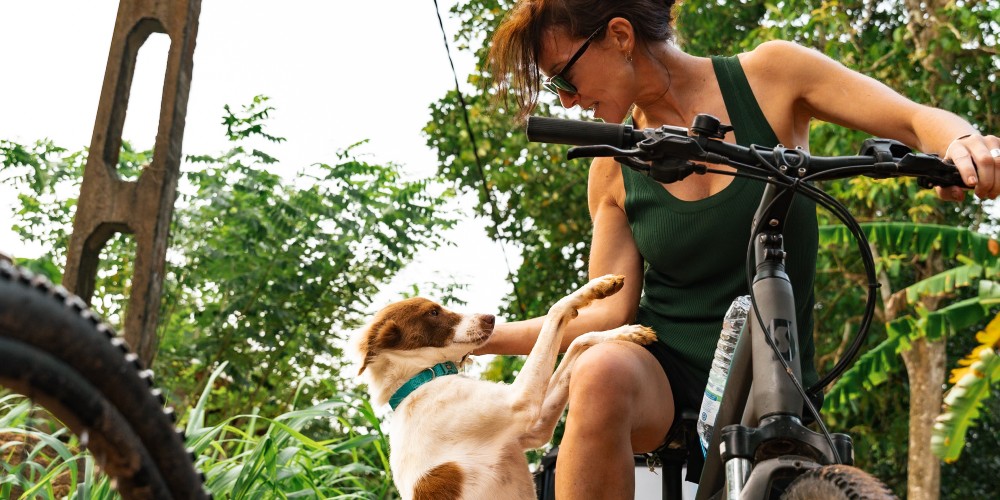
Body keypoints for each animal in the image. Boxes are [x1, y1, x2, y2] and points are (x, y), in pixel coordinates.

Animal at [352, 276, 656, 500]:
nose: (490, 318)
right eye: (433, 312)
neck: (424, 379)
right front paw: (593, 288)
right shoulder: (520, 402)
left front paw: (626, 332)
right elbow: (555, 311)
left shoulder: (535, 428)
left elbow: (578, 340)